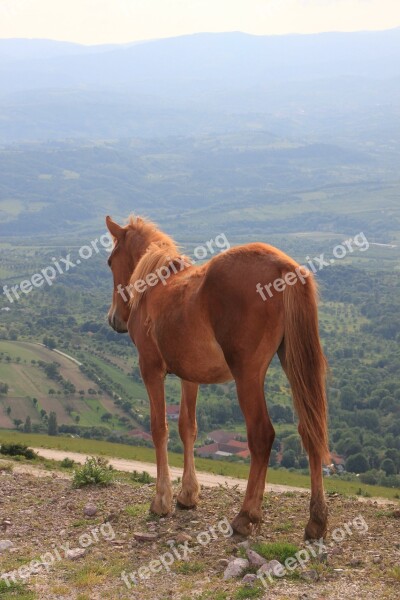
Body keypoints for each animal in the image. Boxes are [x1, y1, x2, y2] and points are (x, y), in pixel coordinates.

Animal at [105, 216, 328, 540]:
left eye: (110, 261)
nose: (114, 319)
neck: (155, 286)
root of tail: (285, 268)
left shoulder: (150, 370)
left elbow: (159, 429)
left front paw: (162, 500)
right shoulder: (190, 376)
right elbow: (188, 428)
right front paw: (188, 495)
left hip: (248, 375)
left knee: (262, 435)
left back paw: (246, 515)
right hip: (294, 364)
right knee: (310, 430)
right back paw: (316, 520)